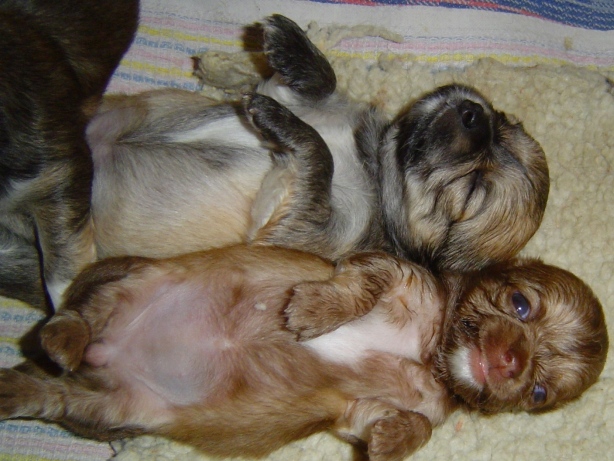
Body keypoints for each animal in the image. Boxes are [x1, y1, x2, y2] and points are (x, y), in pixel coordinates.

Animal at [0, 245, 606, 460]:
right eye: (521, 303)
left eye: (539, 392)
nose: (510, 362)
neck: (430, 353)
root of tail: (105, 356)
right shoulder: (390, 269)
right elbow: (356, 286)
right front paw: (313, 311)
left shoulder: (365, 412)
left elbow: (411, 425)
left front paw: (392, 442)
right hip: (136, 276)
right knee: (82, 312)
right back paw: (64, 336)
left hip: (118, 408)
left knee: (52, 396)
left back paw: (19, 385)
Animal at [82, 15, 549, 278]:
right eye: (503, 121)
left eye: (471, 193)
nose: (477, 115)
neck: (368, 158)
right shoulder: (302, 97)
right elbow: (326, 79)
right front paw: (292, 45)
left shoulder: (295, 229)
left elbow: (318, 151)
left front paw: (278, 120)